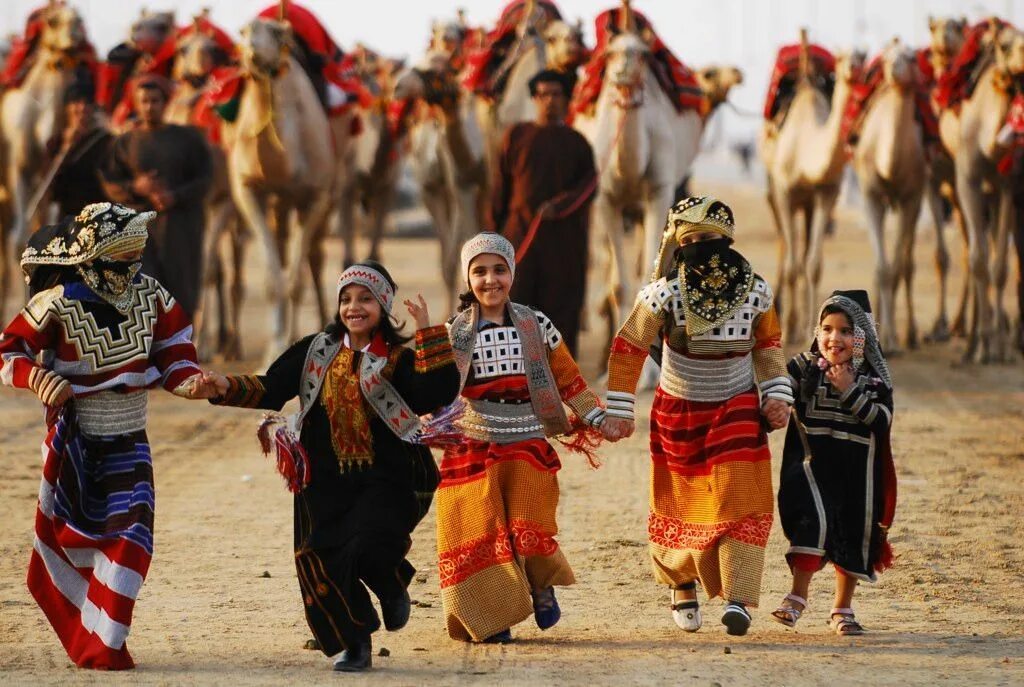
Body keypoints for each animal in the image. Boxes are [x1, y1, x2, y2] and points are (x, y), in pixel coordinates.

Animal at [0, 1, 89, 315]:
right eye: (52, 21)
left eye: (78, 20)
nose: (74, 36)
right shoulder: (19, 171)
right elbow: (18, 238)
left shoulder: (50, 178)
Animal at [227, 14, 331, 364]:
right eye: (243, 31)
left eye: (275, 33)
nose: (252, 52)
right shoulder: (248, 191)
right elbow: (274, 279)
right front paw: (274, 347)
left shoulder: (316, 195)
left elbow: (296, 279)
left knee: (313, 258)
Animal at [761, 32, 864, 344]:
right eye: (842, 57)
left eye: (864, 55)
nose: (855, 66)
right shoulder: (785, 194)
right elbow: (794, 265)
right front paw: (790, 329)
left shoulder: (825, 194)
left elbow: (813, 264)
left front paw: (810, 327)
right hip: (775, 190)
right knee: (785, 245)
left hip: (807, 205)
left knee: (802, 249)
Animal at [847, 40, 929, 352]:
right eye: (887, 59)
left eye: (911, 57)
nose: (895, 67)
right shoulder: (871, 194)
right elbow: (882, 268)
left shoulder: (911, 198)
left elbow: (894, 269)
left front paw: (893, 340)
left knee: (906, 261)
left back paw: (910, 334)